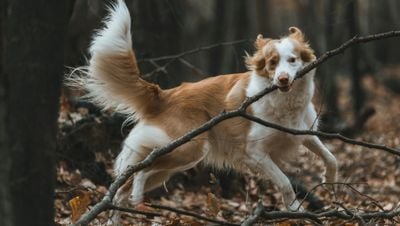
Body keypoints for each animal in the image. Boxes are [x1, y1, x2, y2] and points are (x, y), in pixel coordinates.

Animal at [74, 0, 338, 222]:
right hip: (187, 149)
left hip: (175, 164)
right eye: (272, 63)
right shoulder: (254, 152)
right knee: (141, 170)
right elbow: (284, 181)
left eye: (292, 60)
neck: (284, 102)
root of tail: (164, 94)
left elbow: (331, 158)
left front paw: (330, 183)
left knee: (124, 188)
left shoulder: (303, 133)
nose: (282, 79)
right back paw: (138, 198)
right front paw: (295, 209)